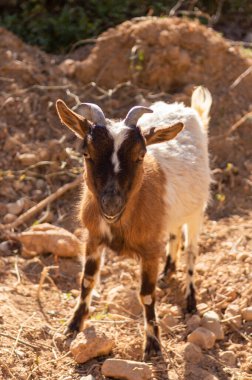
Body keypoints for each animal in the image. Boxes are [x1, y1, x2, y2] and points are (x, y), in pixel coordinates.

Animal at [56, 85, 212, 360]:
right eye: (86, 152)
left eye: (140, 155)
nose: (111, 203)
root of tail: (188, 110)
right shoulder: (93, 237)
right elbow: (87, 281)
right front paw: (73, 325)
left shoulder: (150, 250)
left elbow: (147, 295)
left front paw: (153, 345)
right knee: (173, 234)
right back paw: (167, 272)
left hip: (197, 212)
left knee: (191, 251)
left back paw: (190, 301)